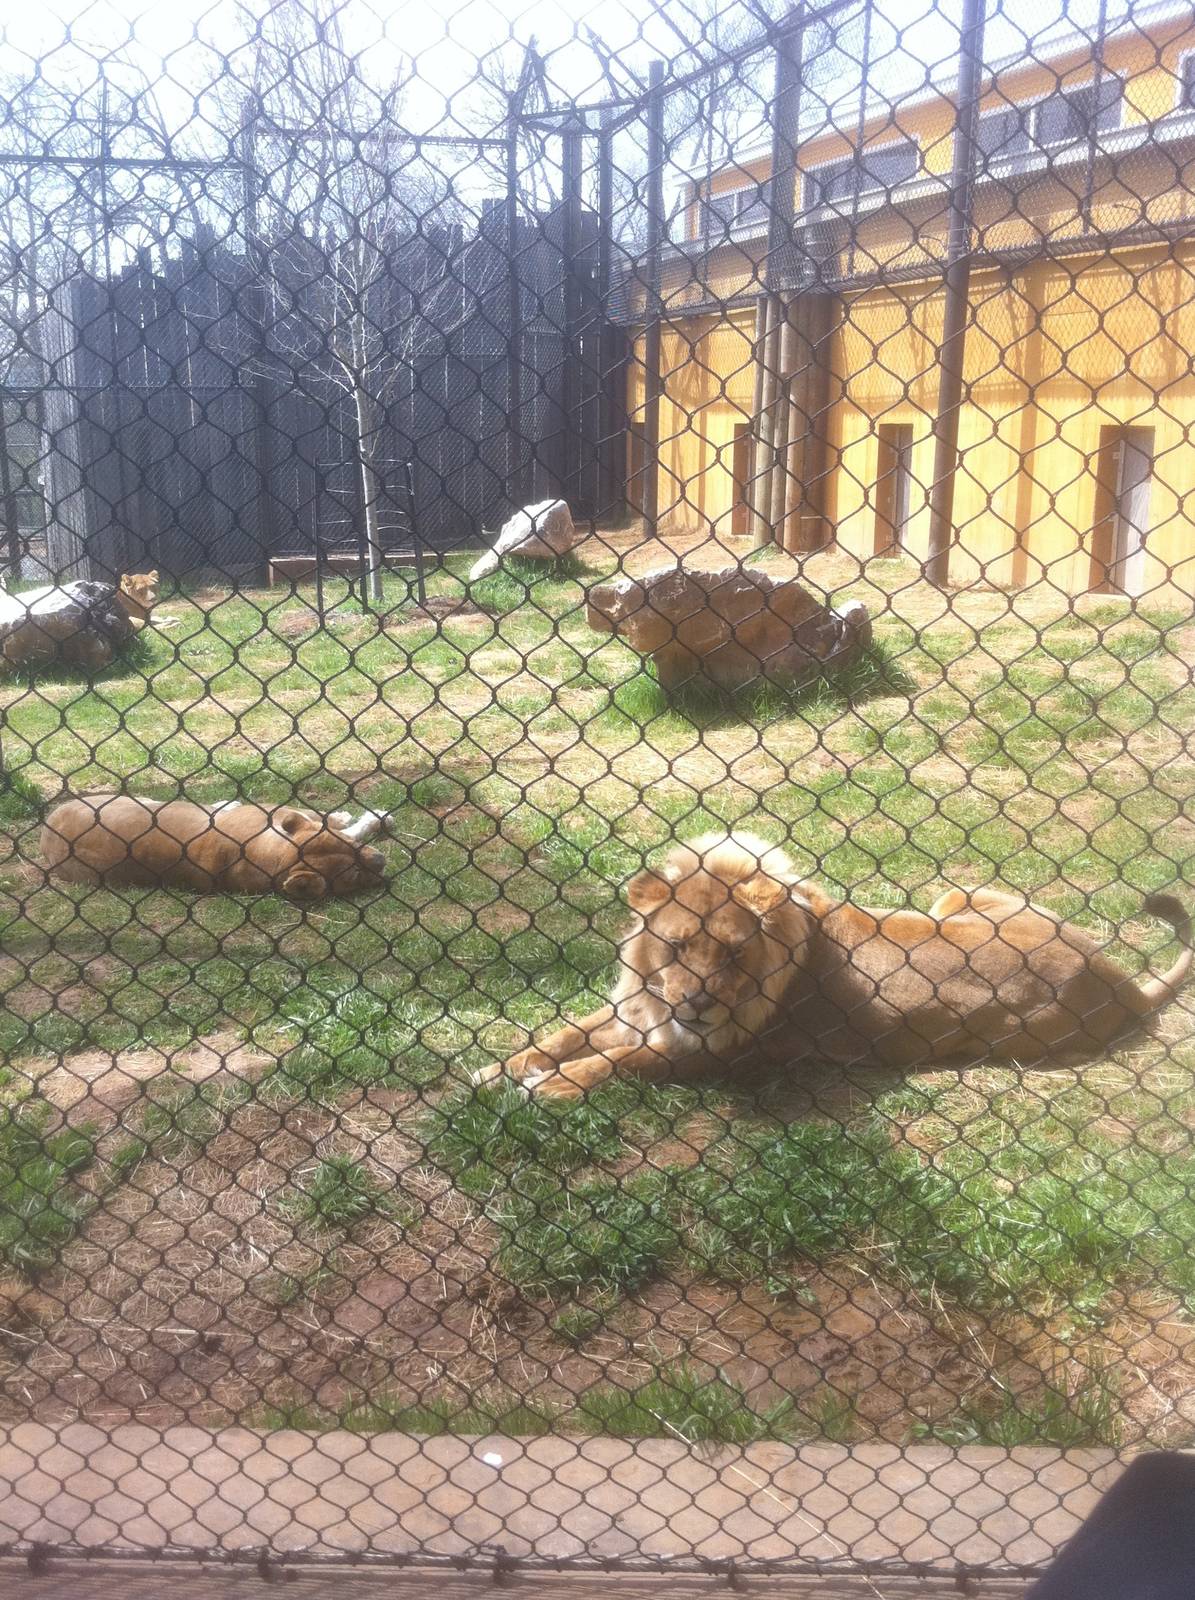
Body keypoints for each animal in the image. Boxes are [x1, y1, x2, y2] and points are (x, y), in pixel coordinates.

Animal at [474, 832, 1192, 1099]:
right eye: (677, 948)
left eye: (732, 953)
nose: (697, 1005)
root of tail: (1118, 978)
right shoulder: (641, 1007)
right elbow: (563, 1033)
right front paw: (499, 1068)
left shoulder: (719, 1053)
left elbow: (624, 1060)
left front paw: (552, 1085)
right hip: (956, 897)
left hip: (1011, 1035)